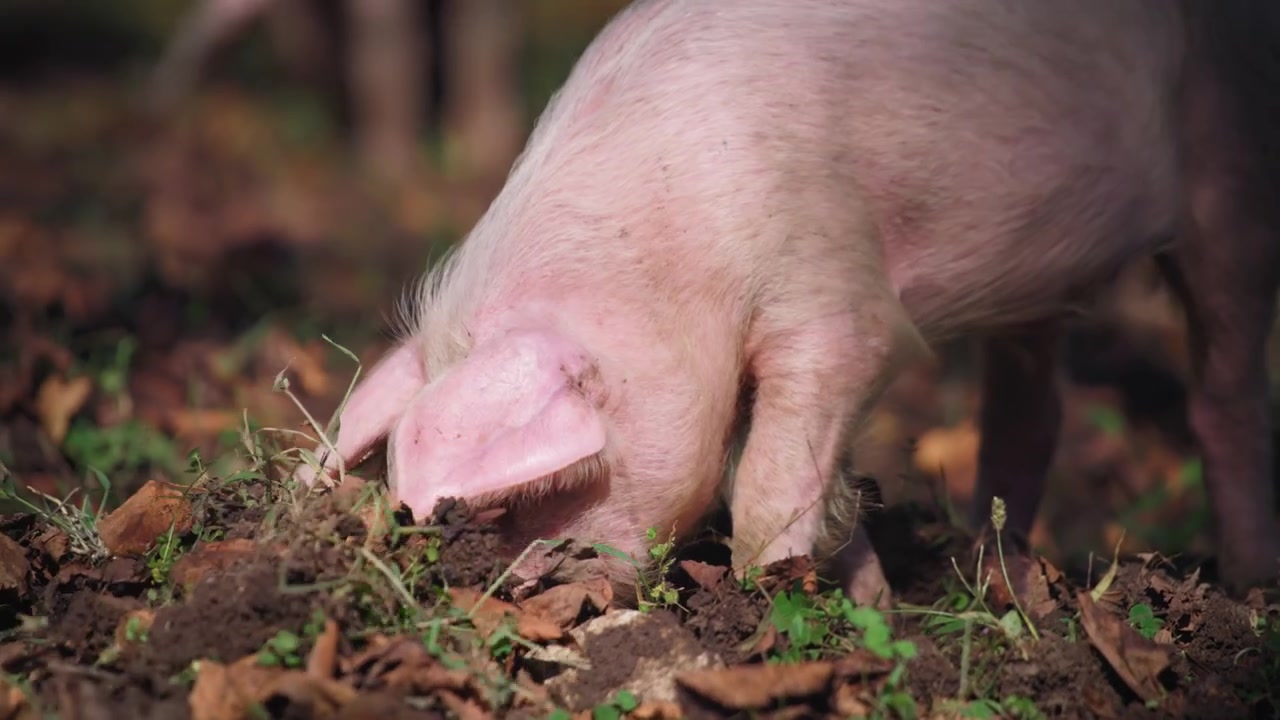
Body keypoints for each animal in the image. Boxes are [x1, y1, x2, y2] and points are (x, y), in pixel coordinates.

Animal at [298, 0, 1280, 606]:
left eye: (522, 504)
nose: (525, 599)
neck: (674, 233)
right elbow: (801, 476)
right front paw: (873, 611)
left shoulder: (837, 301)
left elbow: (770, 481)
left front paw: (776, 601)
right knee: (1031, 410)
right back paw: (991, 572)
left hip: (1232, 150)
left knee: (1226, 389)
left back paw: (1248, 582)